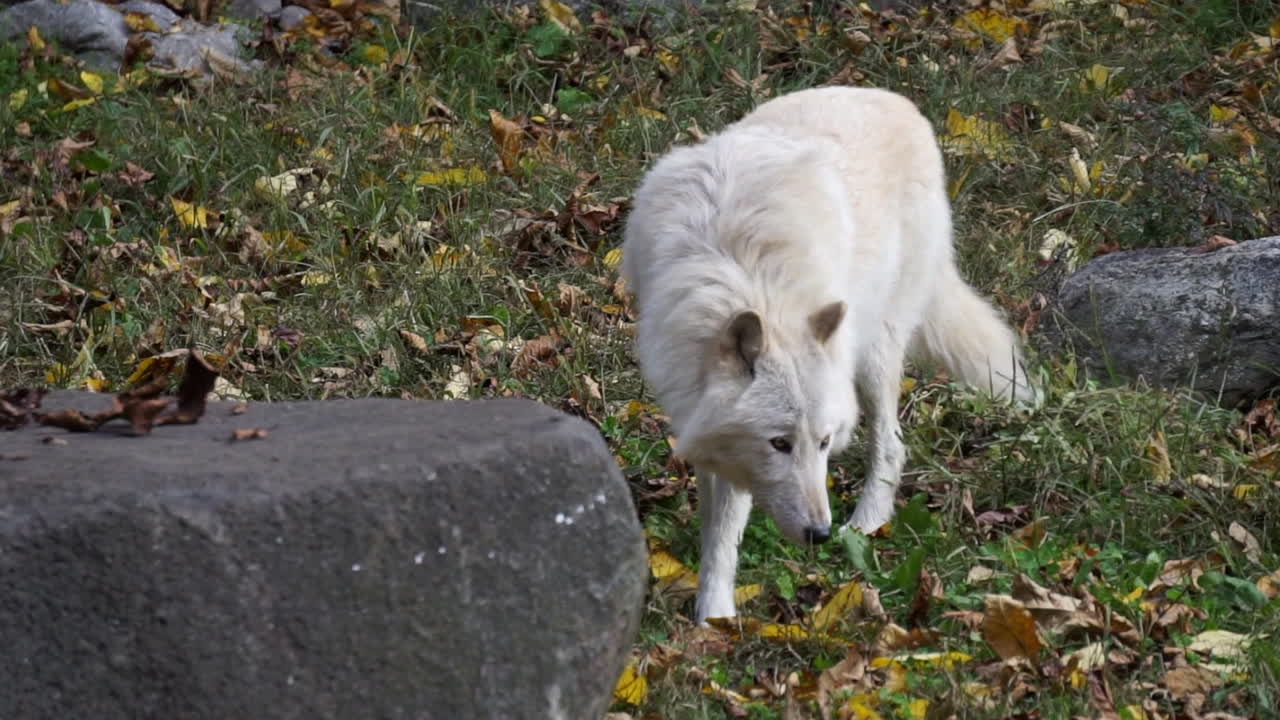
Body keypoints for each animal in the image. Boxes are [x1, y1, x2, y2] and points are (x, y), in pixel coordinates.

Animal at [620, 86, 1035, 624]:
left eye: (822, 443)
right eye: (779, 444)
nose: (818, 533)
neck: (746, 273)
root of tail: (899, 101)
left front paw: (715, 617)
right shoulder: (697, 411)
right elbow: (719, 523)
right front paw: (713, 611)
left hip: (872, 351)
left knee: (892, 444)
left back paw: (867, 523)